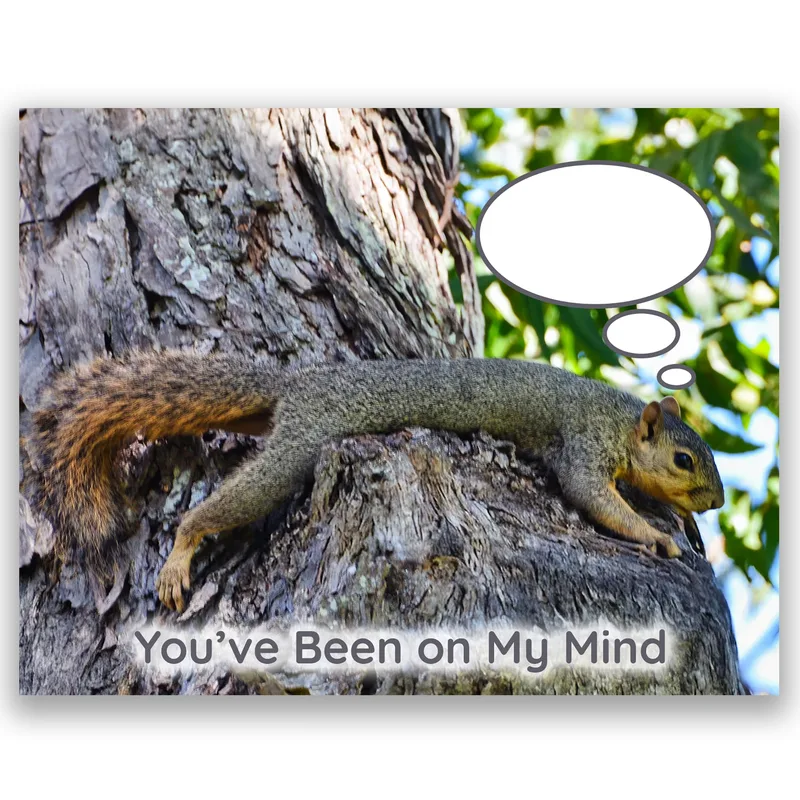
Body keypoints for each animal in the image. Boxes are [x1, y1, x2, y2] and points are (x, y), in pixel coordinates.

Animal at [28, 351, 724, 612]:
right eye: (685, 461)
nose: (715, 501)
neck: (619, 420)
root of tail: (300, 384)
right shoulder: (580, 444)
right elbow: (591, 497)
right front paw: (656, 536)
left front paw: (679, 521)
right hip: (299, 445)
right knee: (224, 504)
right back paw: (181, 550)